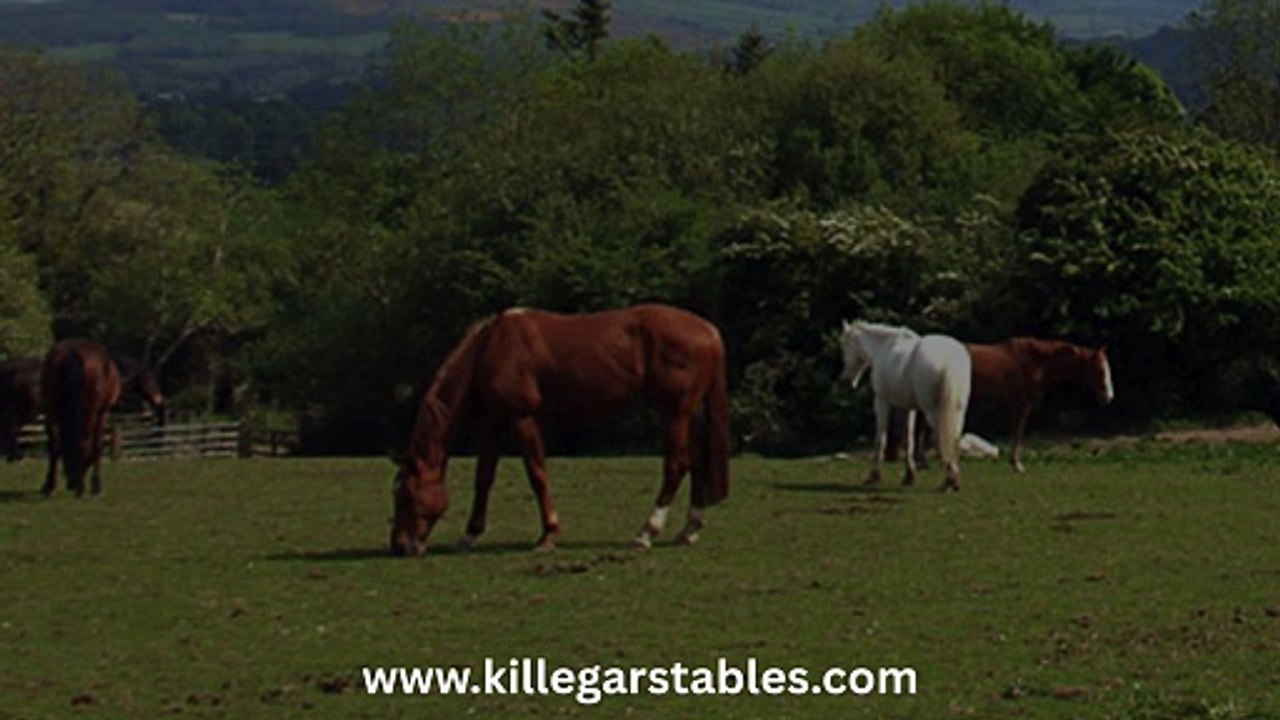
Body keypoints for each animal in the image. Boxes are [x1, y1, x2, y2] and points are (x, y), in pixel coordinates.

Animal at [41, 339, 123, 497]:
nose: (71, 483)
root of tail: (73, 353)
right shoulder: (103, 413)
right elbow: (95, 447)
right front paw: (95, 485)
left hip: (52, 409)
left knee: (57, 444)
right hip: (89, 413)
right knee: (84, 442)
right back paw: (81, 487)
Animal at [390, 304, 731, 557]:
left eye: (406, 494)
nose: (399, 546)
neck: (491, 348)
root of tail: (710, 332)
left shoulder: (522, 418)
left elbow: (537, 475)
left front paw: (548, 535)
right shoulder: (495, 422)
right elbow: (483, 478)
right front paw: (470, 535)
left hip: (674, 414)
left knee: (677, 465)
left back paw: (647, 531)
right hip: (688, 414)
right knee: (698, 461)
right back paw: (688, 530)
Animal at [838, 320, 971, 492]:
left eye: (844, 346)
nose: (845, 381)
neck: (883, 347)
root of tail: (949, 359)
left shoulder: (881, 401)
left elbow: (880, 439)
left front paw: (874, 476)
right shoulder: (909, 407)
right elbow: (908, 440)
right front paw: (909, 476)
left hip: (933, 412)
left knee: (942, 440)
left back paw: (949, 481)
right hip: (958, 412)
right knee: (954, 439)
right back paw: (953, 480)